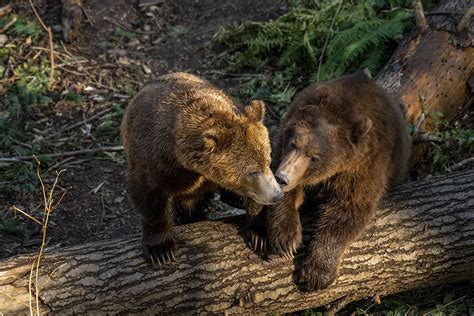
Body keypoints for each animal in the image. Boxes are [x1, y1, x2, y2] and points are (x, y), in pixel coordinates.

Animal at [122, 72, 284, 266]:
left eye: (268, 161)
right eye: (252, 171)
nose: (277, 195)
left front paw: (259, 234)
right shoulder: (154, 161)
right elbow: (149, 197)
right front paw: (161, 250)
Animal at [252, 72, 412, 292]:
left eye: (314, 157)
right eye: (294, 144)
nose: (282, 178)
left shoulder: (365, 167)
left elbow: (347, 210)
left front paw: (316, 274)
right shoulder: (282, 150)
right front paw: (286, 239)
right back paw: (258, 234)